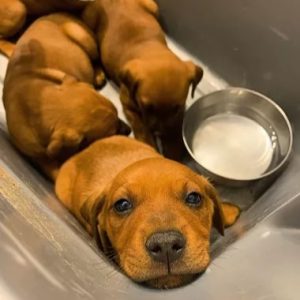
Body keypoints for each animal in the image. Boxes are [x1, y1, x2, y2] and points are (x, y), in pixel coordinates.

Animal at [2, 13, 130, 178]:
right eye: (110, 133)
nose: (129, 130)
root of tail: (58, 13)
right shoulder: (38, 156)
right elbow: (55, 171)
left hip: (81, 35)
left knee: (96, 59)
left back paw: (98, 75)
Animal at [82, 0, 204, 161]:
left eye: (176, 108)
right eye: (146, 107)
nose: (159, 132)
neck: (150, 48)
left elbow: (176, 124)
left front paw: (173, 147)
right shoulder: (129, 104)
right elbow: (141, 126)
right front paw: (149, 144)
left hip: (153, 6)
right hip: (89, 22)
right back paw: (98, 73)